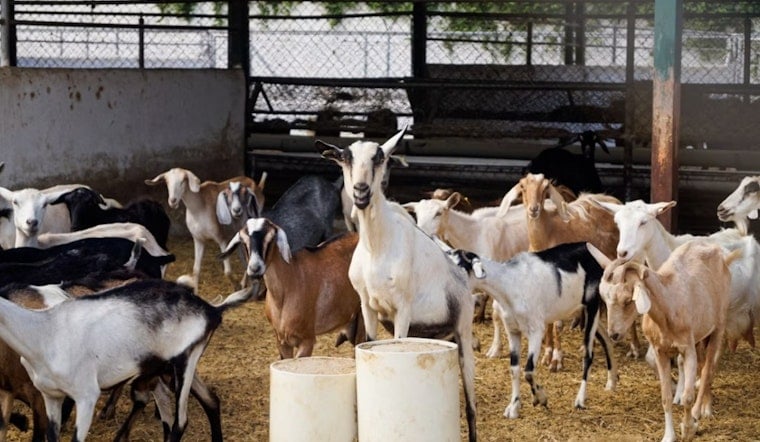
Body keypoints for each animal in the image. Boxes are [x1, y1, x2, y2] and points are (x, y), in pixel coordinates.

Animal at [0, 279, 254, 441]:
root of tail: (212, 309)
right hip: (170, 368)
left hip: (185, 362)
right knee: (210, 401)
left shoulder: (86, 396)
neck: (44, 333)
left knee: (180, 422)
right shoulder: (51, 396)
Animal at [318, 128, 477, 442]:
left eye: (380, 157)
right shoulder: (368, 305)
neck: (378, 246)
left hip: (463, 330)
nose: (361, 192)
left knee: (471, 404)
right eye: (345, 158)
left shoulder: (402, 309)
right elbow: (367, 341)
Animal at [589, 240, 737, 442]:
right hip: (699, 336)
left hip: (718, 326)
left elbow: (688, 396)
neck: (668, 305)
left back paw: (701, 410)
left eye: (627, 300)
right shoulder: (661, 351)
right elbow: (665, 397)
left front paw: (688, 428)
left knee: (708, 368)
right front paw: (669, 435)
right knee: (701, 365)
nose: (614, 334)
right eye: (604, 297)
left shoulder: (687, 348)